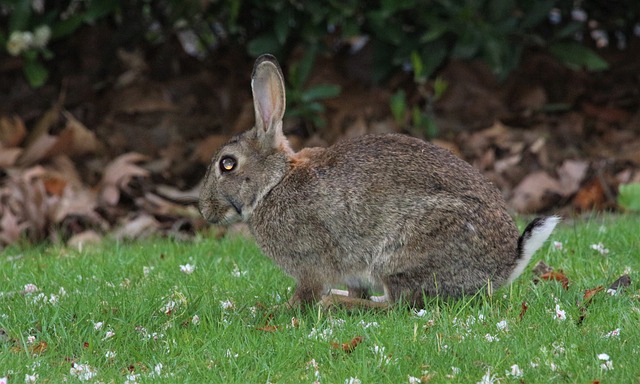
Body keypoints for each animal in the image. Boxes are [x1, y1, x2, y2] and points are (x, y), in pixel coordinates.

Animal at [198, 54, 556, 308]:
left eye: (227, 164)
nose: (203, 210)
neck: (273, 183)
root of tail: (505, 265)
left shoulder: (310, 263)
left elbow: (306, 294)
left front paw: (274, 312)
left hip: (401, 254)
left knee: (398, 305)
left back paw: (335, 303)